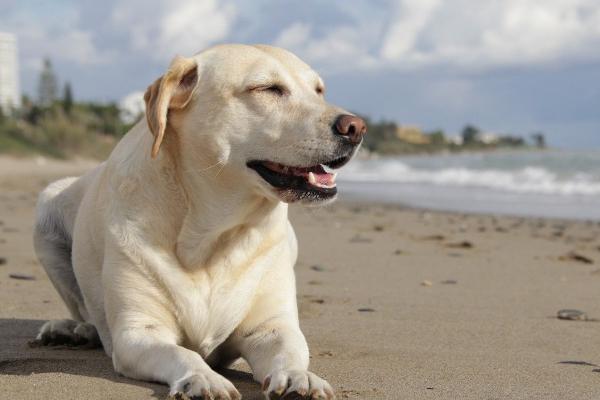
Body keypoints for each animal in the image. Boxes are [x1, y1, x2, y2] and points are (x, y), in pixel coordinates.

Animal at [32, 44, 366, 400]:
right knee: (84, 311)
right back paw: (72, 329)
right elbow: (183, 353)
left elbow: (290, 351)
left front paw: (299, 377)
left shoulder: (271, 327)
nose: (356, 127)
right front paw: (203, 377)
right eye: (268, 88)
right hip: (46, 208)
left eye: (319, 91)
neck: (212, 235)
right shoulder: (138, 332)